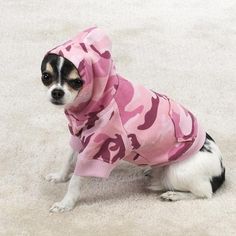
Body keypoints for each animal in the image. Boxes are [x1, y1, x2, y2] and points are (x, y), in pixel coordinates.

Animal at [40, 27, 225, 212]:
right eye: (46, 76)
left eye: (77, 82)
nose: (57, 92)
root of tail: (221, 169)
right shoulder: (79, 137)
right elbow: (68, 159)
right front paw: (60, 177)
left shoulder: (98, 147)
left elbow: (76, 179)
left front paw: (65, 204)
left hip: (177, 172)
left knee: (204, 193)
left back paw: (174, 195)